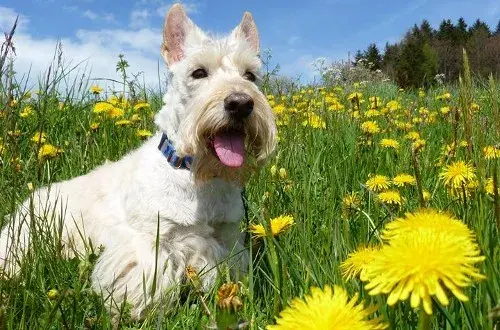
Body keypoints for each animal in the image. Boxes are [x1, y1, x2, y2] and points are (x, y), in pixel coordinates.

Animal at [0, 3, 276, 320]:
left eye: (250, 75)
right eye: (198, 72)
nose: (241, 103)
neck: (196, 175)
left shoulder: (227, 239)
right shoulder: (149, 238)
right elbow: (148, 276)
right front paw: (140, 311)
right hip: (23, 239)